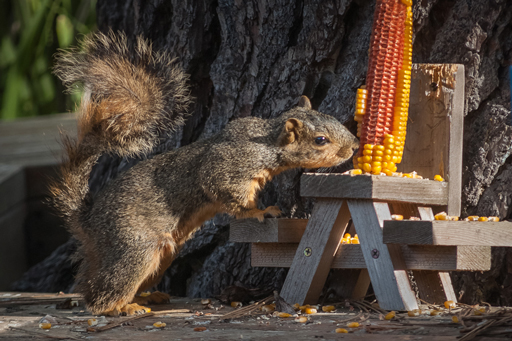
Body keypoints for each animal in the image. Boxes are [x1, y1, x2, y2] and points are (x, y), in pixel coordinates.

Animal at [51, 30, 356, 314]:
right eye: (320, 140)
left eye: (332, 119)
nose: (353, 146)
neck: (267, 144)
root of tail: (89, 222)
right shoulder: (228, 166)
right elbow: (227, 194)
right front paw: (259, 211)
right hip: (135, 248)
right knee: (101, 295)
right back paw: (121, 307)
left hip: (162, 256)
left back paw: (146, 297)